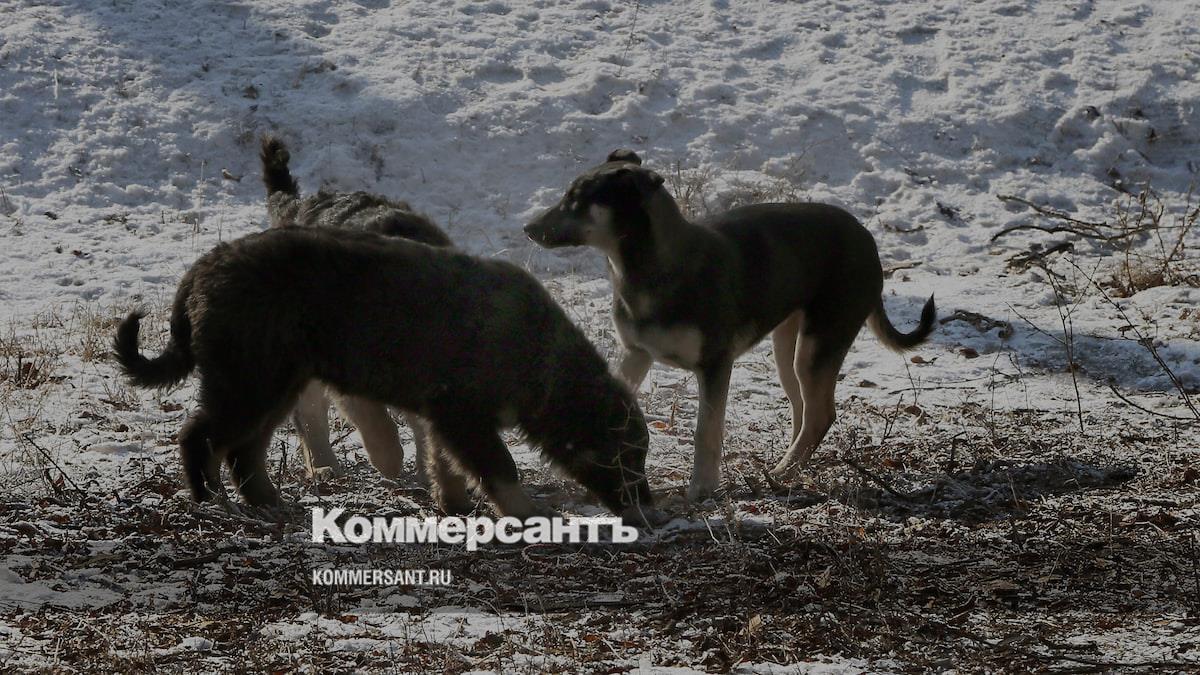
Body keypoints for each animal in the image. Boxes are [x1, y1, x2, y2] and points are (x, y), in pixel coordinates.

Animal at [114, 226, 655, 522]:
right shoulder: (464, 414)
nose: (648, 512)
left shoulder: (445, 417)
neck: (541, 360)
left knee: (245, 449)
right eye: (625, 456)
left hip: (276, 383)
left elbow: (444, 461)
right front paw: (525, 512)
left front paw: (452, 504)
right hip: (249, 380)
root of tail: (200, 270)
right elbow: (500, 466)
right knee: (200, 436)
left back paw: (267, 501)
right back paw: (209, 499)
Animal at [524, 150, 936, 500]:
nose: (528, 228)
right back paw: (789, 464)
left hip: (819, 343)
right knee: (805, 410)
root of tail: (868, 240)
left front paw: (702, 488)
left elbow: (706, 430)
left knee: (819, 413)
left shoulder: (715, 364)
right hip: (788, 347)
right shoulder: (636, 353)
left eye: (577, 199)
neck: (650, 267)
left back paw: (784, 471)